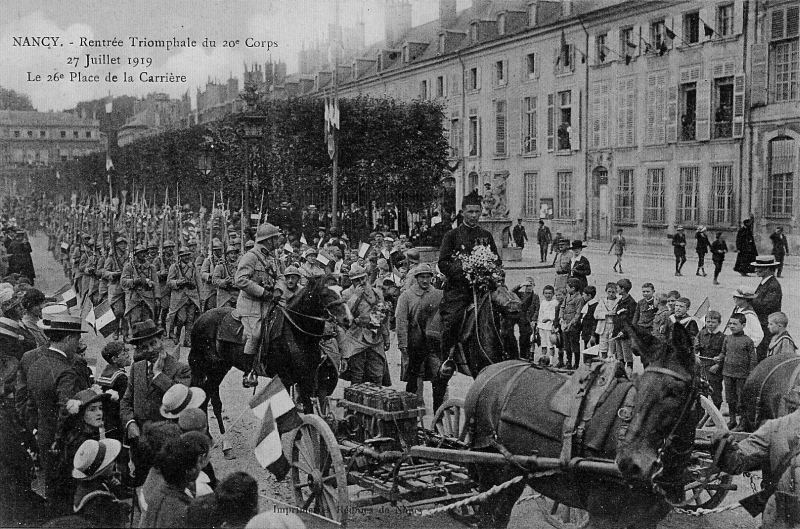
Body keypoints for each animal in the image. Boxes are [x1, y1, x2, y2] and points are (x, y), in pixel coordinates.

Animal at [189, 274, 352, 436]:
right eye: (325, 294)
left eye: (341, 291)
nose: (348, 319)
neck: (295, 331)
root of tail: (200, 318)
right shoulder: (284, 379)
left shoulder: (305, 380)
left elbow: (308, 412)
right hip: (203, 367)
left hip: (219, 368)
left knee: (208, 393)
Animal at [466, 320, 704, 524]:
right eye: (639, 385)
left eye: (676, 391)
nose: (630, 462)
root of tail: (489, 371)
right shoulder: (604, 519)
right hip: (492, 473)